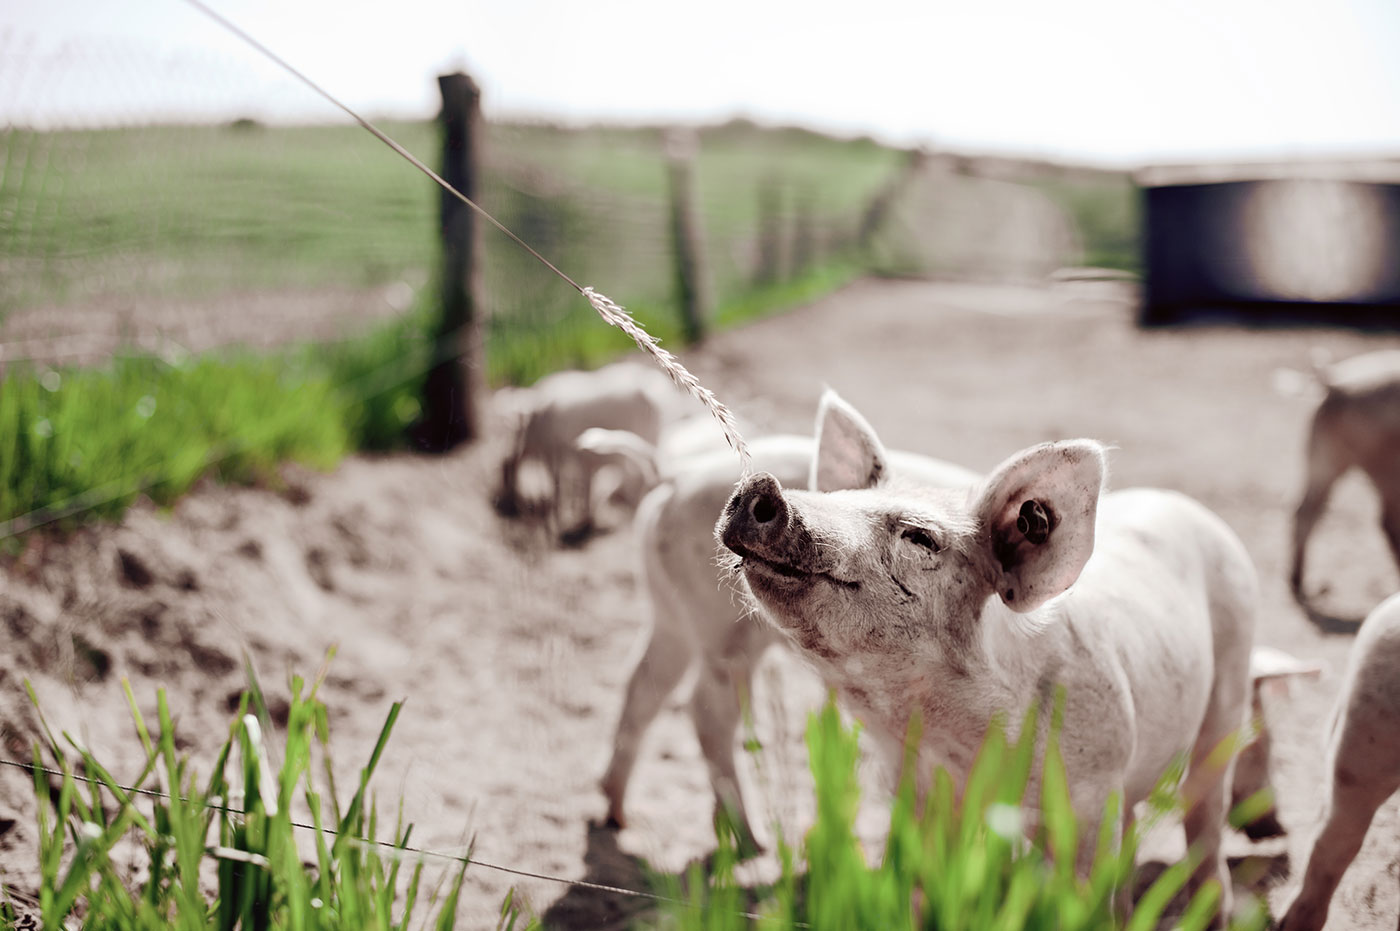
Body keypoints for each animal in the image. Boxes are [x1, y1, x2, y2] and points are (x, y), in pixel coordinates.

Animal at [717, 390, 1258, 922]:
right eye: (839, 499)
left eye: (920, 536)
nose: (761, 484)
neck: (954, 738)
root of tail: (1181, 503)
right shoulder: (914, 788)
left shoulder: (1092, 790)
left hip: (1230, 679)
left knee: (1206, 808)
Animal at [1289, 349, 1400, 607]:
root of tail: (1335, 381)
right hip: (1382, 466)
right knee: (1387, 523)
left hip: (1323, 458)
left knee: (1304, 510)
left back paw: (1300, 584)